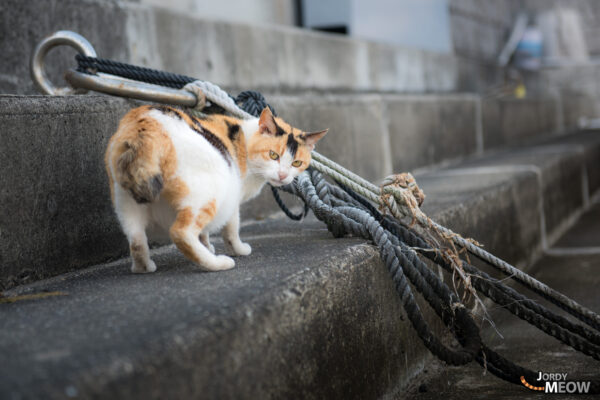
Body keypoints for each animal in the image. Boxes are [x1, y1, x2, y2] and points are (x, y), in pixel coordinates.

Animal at [104, 104, 328, 272]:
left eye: (297, 163)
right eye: (273, 155)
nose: (282, 175)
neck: (245, 143)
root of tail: (146, 126)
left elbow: (204, 232)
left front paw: (207, 245)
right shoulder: (234, 198)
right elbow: (231, 228)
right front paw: (238, 249)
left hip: (125, 201)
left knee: (136, 238)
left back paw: (143, 267)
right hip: (210, 192)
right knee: (181, 233)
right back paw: (218, 263)